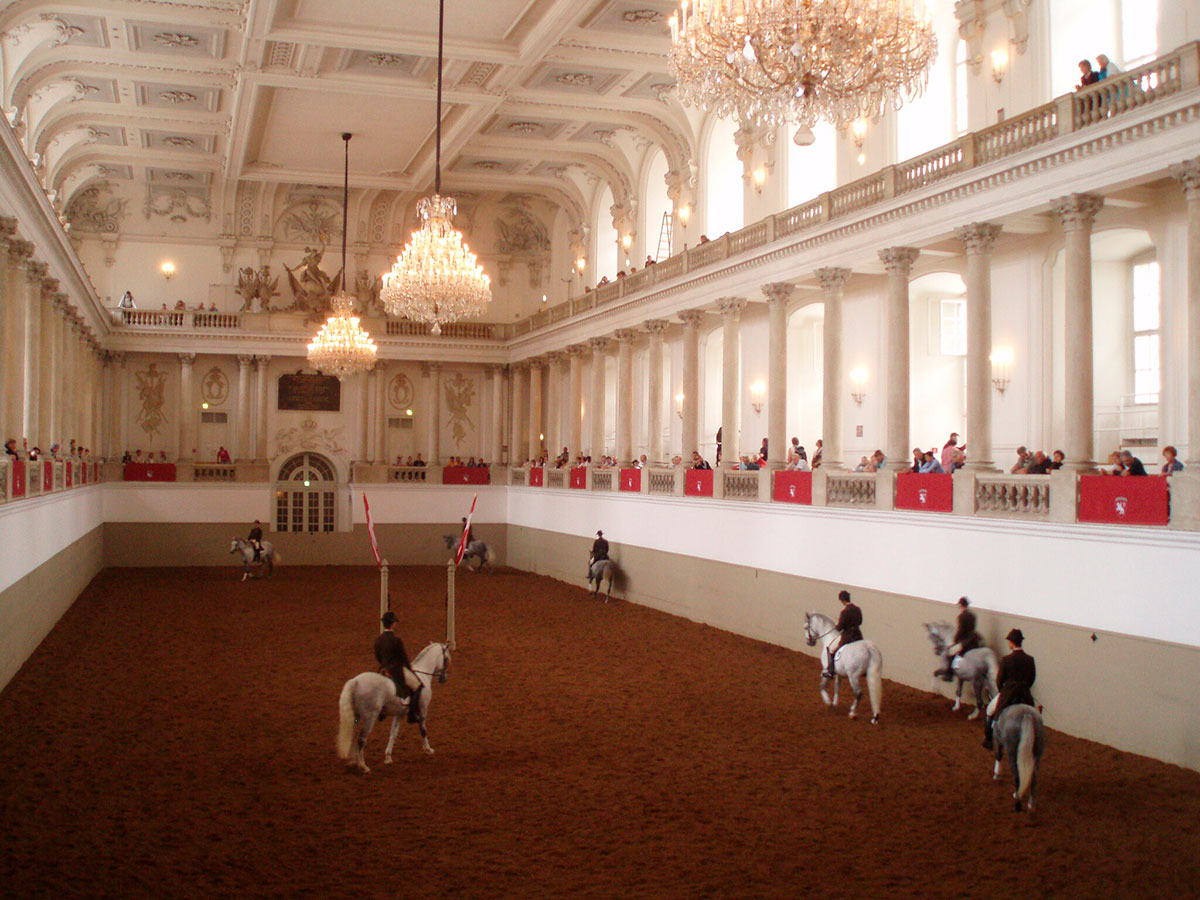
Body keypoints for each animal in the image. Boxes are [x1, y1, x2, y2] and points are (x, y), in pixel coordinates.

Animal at [336, 643, 451, 777]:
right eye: (446, 659)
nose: (443, 679)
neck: (423, 674)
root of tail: (355, 681)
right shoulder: (423, 709)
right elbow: (423, 730)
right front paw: (428, 749)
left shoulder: (399, 714)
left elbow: (393, 733)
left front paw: (388, 757)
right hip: (369, 717)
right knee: (361, 740)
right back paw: (363, 766)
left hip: (355, 716)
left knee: (352, 736)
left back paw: (354, 761)